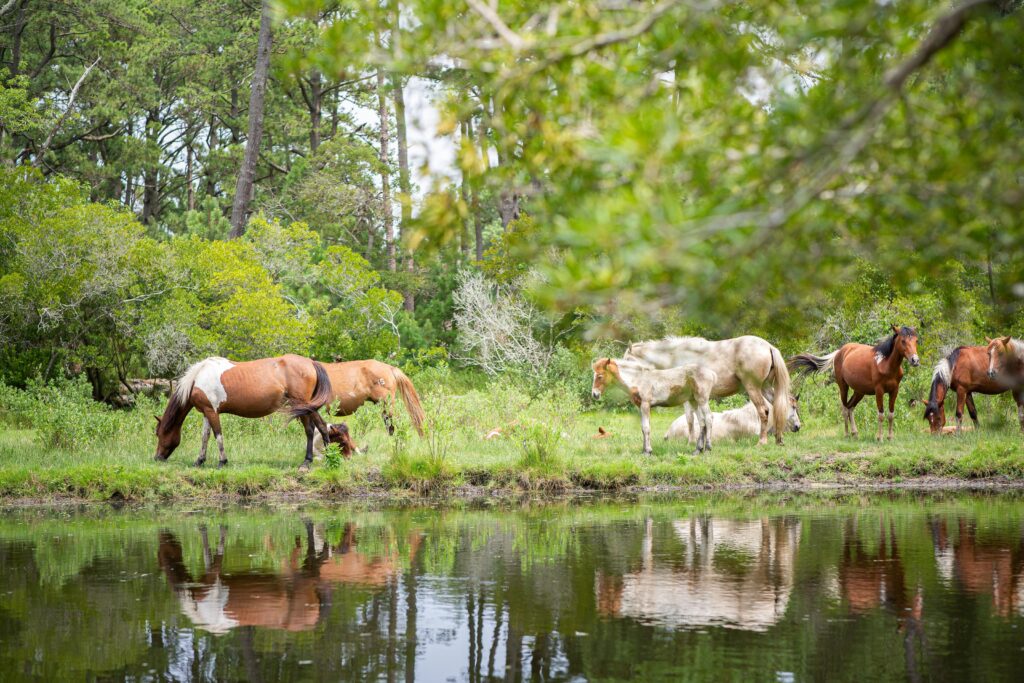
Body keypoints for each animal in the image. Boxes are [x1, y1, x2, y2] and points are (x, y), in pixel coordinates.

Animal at [786, 327, 925, 444]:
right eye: (903, 341)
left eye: (916, 340)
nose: (915, 360)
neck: (886, 364)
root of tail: (840, 351)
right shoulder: (879, 391)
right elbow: (881, 414)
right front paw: (879, 438)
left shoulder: (894, 391)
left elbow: (891, 414)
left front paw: (890, 437)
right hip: (843, 387)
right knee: (844, 408)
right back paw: (847, 434)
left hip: (859, 391)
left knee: (850, 407)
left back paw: (855, 433)